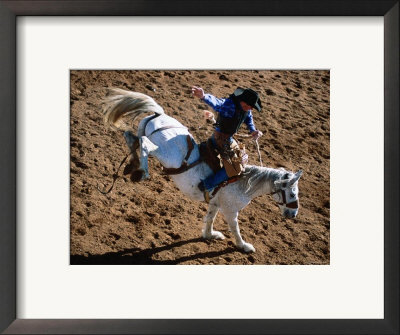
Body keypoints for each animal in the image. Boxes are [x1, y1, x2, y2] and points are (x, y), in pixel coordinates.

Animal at [101, 88, 302, 253]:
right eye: (292, 193)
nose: (293, 214)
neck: (245, 183)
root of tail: (159, 114)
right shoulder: (230, 211)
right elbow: (235, 229)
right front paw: (244, 246)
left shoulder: (215, 203)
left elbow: (210, 218)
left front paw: (209, 235)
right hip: (166, 155)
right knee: (145, 144)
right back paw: (142, 171)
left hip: (144, 134)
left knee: (131, 137)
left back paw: (132, 166)